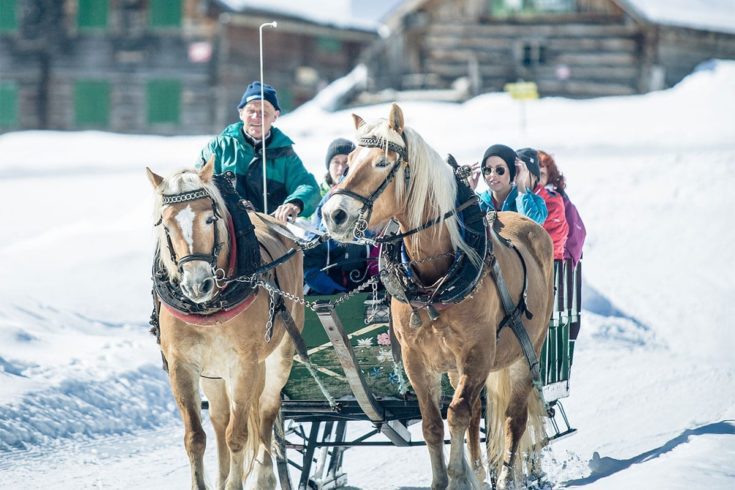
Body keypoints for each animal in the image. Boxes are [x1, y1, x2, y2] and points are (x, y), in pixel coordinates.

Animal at [147, 159, 302, 488]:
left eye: (209, 219)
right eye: (166, 225)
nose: (197, 285)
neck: (209, 309)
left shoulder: (244, 364)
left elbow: (238, 436)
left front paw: (236, 482)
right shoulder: (181, 365)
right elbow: (195, 437)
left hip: (278, 357)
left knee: (266, 413)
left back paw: (264, 476)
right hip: (214, 373)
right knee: (220, 420)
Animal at [324, 105, 556, 488]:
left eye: (382, 163)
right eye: (350, 161)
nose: (334, 215)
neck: (434, 282)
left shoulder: (477, 355)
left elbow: (456, 413)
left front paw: (459, 477)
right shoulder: (416, 360)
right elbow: (434, 424)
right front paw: (446, 479)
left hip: (525, 355)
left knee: (513, 420)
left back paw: (507, 477)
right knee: (478, 414)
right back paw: (481, 473)